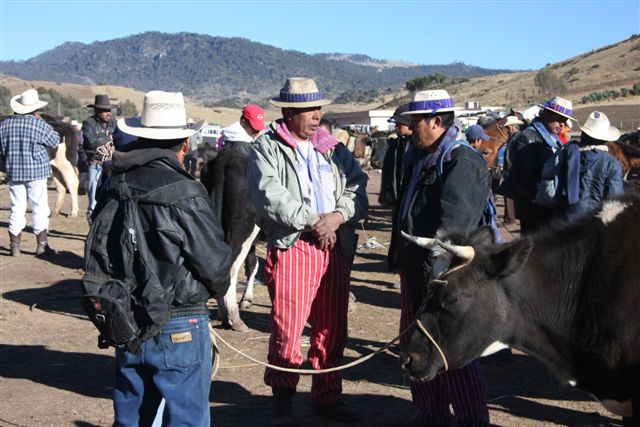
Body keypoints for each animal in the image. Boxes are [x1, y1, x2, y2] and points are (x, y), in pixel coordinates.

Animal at [201, 149, 258, 332]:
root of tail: (230, 155)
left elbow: (253, 265)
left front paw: (246, 299)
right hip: (244, 229)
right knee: (231, 267)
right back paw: (234, 317)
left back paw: (224, 314)